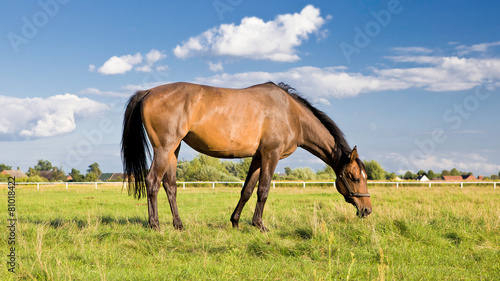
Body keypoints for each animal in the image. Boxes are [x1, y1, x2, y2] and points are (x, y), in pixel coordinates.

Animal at [121, 81, 372, 230]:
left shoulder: (259, 157)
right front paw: (259, 225)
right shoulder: (271, 155)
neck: (290, 113)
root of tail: (148, 92)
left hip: (174, 150)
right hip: (164, 148)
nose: (367, 210)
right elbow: (263, 190)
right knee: (152, 181)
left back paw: (179, 225)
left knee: (170, 186)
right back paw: (154, 225)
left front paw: (235, 222)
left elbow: (247, 190)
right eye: (353, 177)